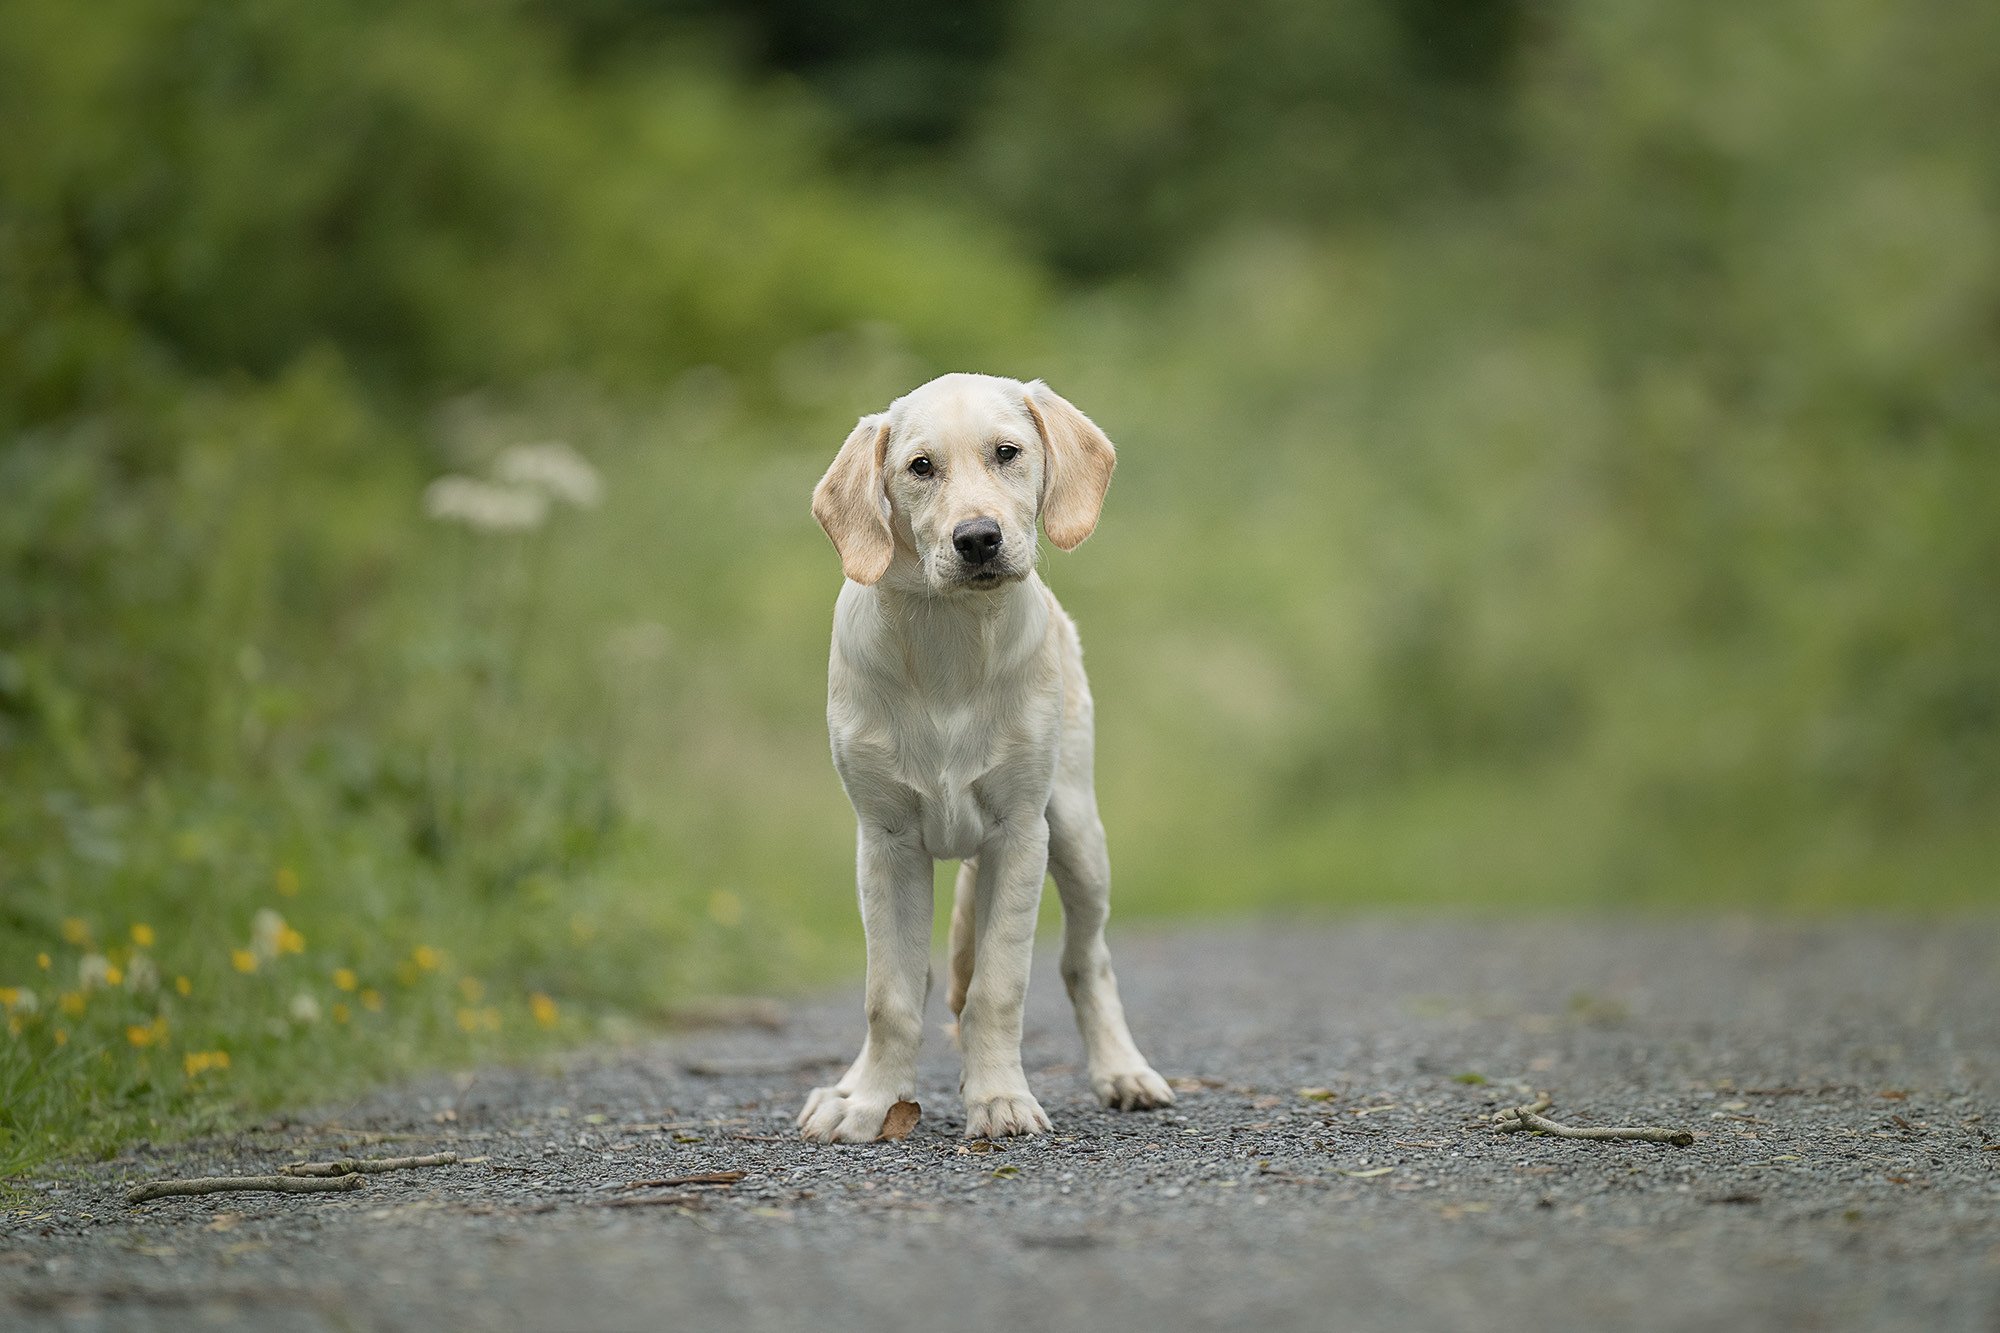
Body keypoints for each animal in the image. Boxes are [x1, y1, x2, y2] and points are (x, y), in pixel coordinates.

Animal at [796, 368, 1168, 1136]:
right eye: (920, 467)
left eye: (1007, 453)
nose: (978, 539)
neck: (951, 639)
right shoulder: (884, 841)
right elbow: (888, 995)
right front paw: (871, 1103)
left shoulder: (1018, 834)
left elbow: (1000, 985)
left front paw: (1000, 1099)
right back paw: (842, 1090)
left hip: (1078, 834)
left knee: (1088, 959)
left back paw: (1123, 1071)